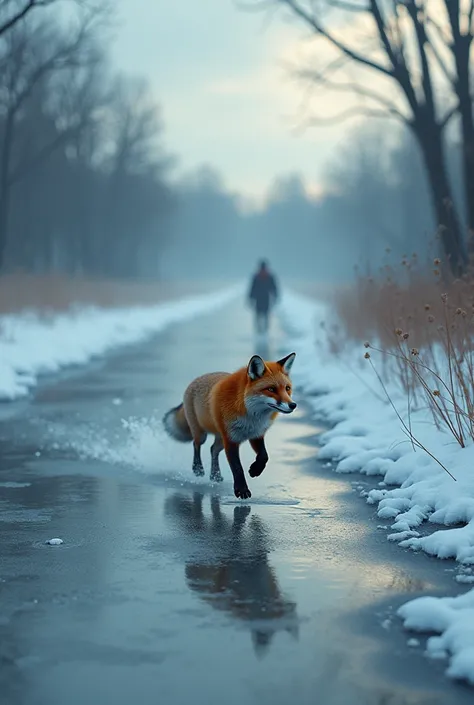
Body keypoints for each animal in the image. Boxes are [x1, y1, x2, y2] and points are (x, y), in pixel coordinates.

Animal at [163, 350, 296, 496]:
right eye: (271, 389)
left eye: (287, 388)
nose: (293, 405)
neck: (251, 416)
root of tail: (196, 379)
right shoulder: (231, 439)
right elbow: (237, 467)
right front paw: (242, 490)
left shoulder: (256, 434)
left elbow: (264, 456)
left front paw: (255, 470)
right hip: (202, 433)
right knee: (196, 444)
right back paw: (198, 468)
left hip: (220, 439)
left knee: (213, 449)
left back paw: (215, 475)